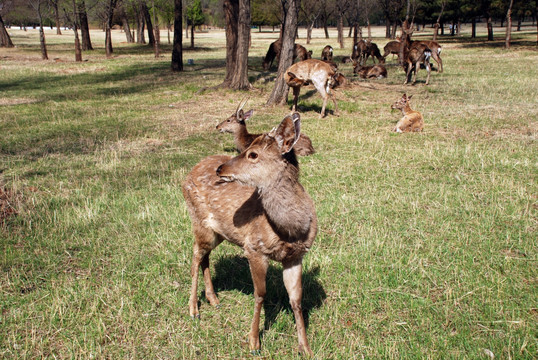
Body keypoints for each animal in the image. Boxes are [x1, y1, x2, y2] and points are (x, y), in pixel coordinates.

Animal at [182, 114, 316, 356]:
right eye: (248, 148)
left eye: (253, 154)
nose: (220, 169)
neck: (291, 230)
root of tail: (186, 176)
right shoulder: (254, 247)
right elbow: (260, 293)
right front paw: (254, 342)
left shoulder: (296, 256)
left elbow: (296, 299)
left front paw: (305, 348)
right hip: (198, 221)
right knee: (195, 255)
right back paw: (194, 309)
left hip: (217, 233)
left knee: (205, 256)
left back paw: (213, 299)